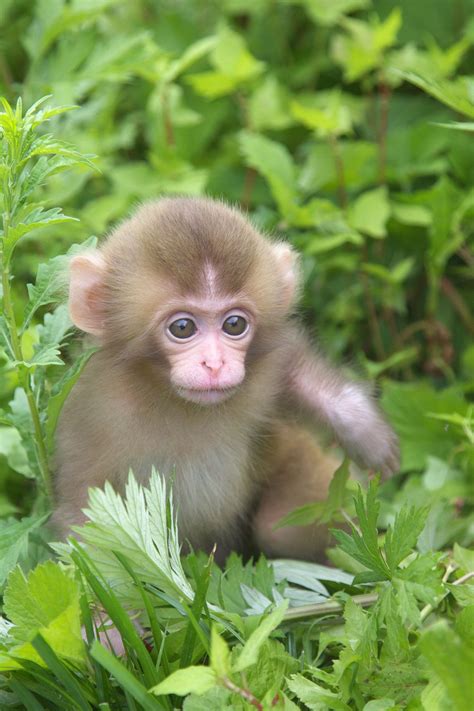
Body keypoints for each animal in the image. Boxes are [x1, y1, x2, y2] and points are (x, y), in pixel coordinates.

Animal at [53, 197, 399, 563]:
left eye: (234, 324)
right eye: (182, 327)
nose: (215, 364)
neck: (173, 398)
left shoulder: (265, 374)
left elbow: (292, 369)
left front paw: (363, 428)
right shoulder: (90, 418)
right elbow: (87, 520)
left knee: (277, 528)